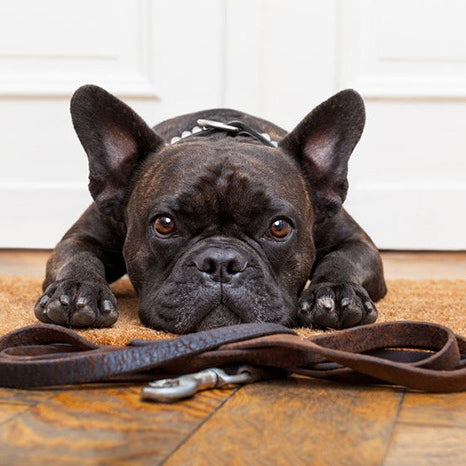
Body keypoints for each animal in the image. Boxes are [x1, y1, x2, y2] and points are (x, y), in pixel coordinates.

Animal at [33, 83, 386, 332]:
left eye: (279, 227)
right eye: (164, 224)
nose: (221, 262)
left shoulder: (357, 242)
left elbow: (343, 259)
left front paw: (336, 293)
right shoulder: (81, 237)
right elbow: (78, 256)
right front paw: (79, 290)